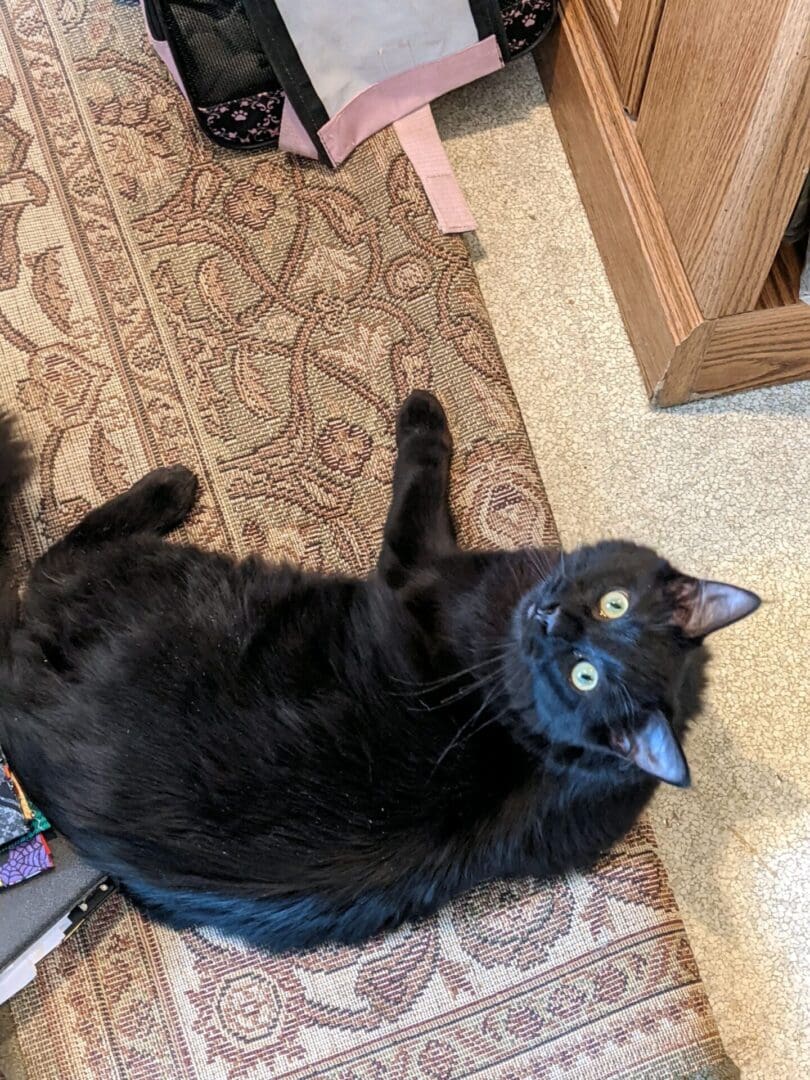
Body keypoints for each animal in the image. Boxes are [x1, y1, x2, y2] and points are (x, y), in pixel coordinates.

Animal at [0, 395, 760, 946]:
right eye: (614, 604)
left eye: (584, 678)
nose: (551, 621)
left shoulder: (416, 562)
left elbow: (422, 471)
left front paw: (422, 411)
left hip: (160, 582)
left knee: (53, 560)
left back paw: (170, 486)